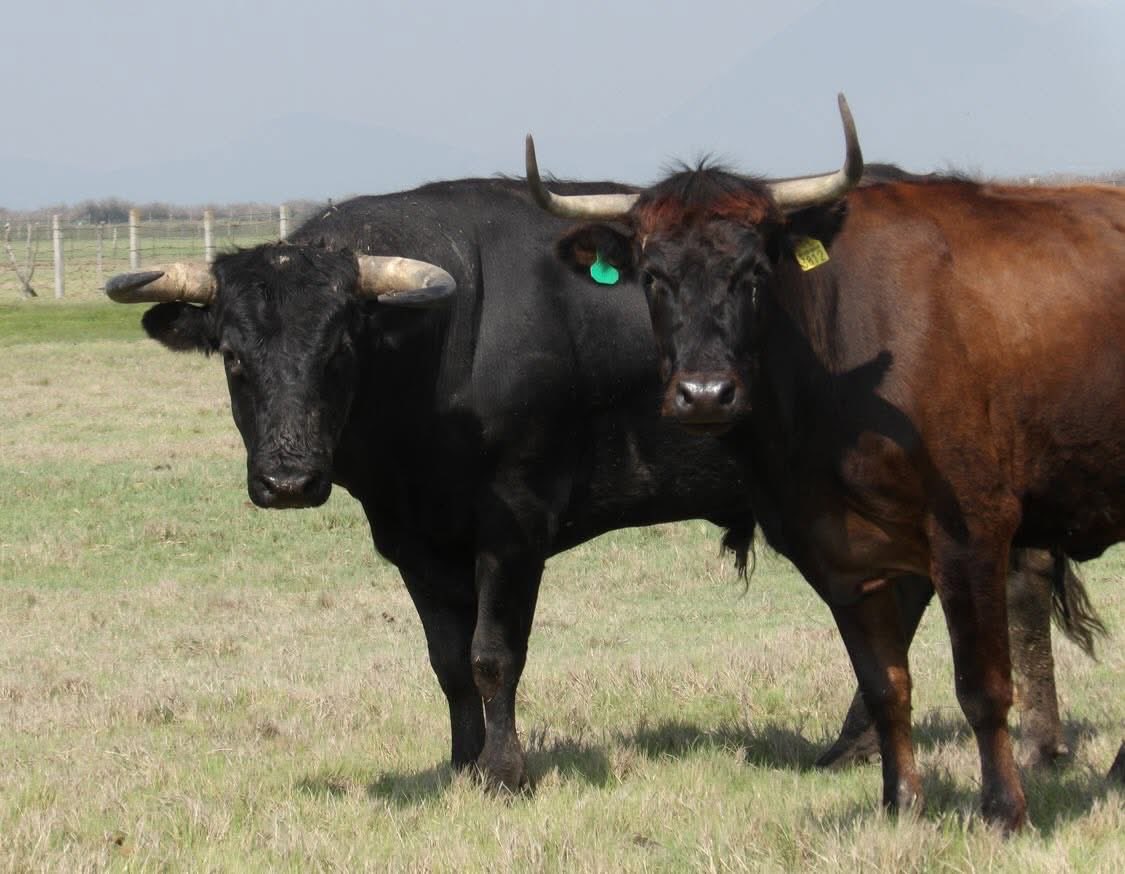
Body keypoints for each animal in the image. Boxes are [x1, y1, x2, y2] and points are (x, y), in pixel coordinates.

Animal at [106, 176, 1098, 799]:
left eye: (339, 347)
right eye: (234, 355)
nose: (287, 477)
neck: (434, 348)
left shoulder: (513, 526)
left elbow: (493, 654)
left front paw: (506, 774)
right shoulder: (414, 540)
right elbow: (446, 661)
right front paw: (462, 763)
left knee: (1004, 586)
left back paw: (1030, 746)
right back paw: (861, 747)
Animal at [525, 95, 1124, 830]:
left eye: (754, 274)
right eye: (652, 276)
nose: (705, 393)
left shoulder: (973, 528)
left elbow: (982, 686)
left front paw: (1004, 813)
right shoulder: (836, 555)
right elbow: (885, 686)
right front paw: (901, 805)